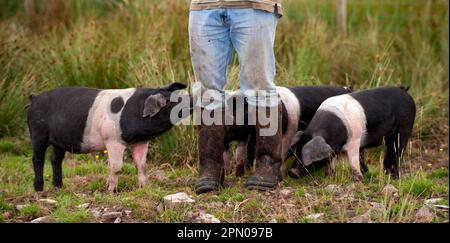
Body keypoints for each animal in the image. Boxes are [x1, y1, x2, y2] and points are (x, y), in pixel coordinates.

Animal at [26, 83, 188, 192]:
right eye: (170, 101)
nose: (191, 99)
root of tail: (34, 99)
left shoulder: (141, 141)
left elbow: (141, 165)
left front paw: (143, 188)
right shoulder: (112, 140)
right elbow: (116, 167)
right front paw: (111, 190)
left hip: (59, 141)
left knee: (55, 159)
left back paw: (59, 187)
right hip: (38, 132)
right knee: (37, 159)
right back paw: (39, 189)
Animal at [223, 85, 354, 177]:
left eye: (241, 109)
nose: (226, 127)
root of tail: (348, 88)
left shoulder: (288, 133)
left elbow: (282, 153)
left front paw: (281, 176)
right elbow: (241, 154)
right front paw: (237, 174)